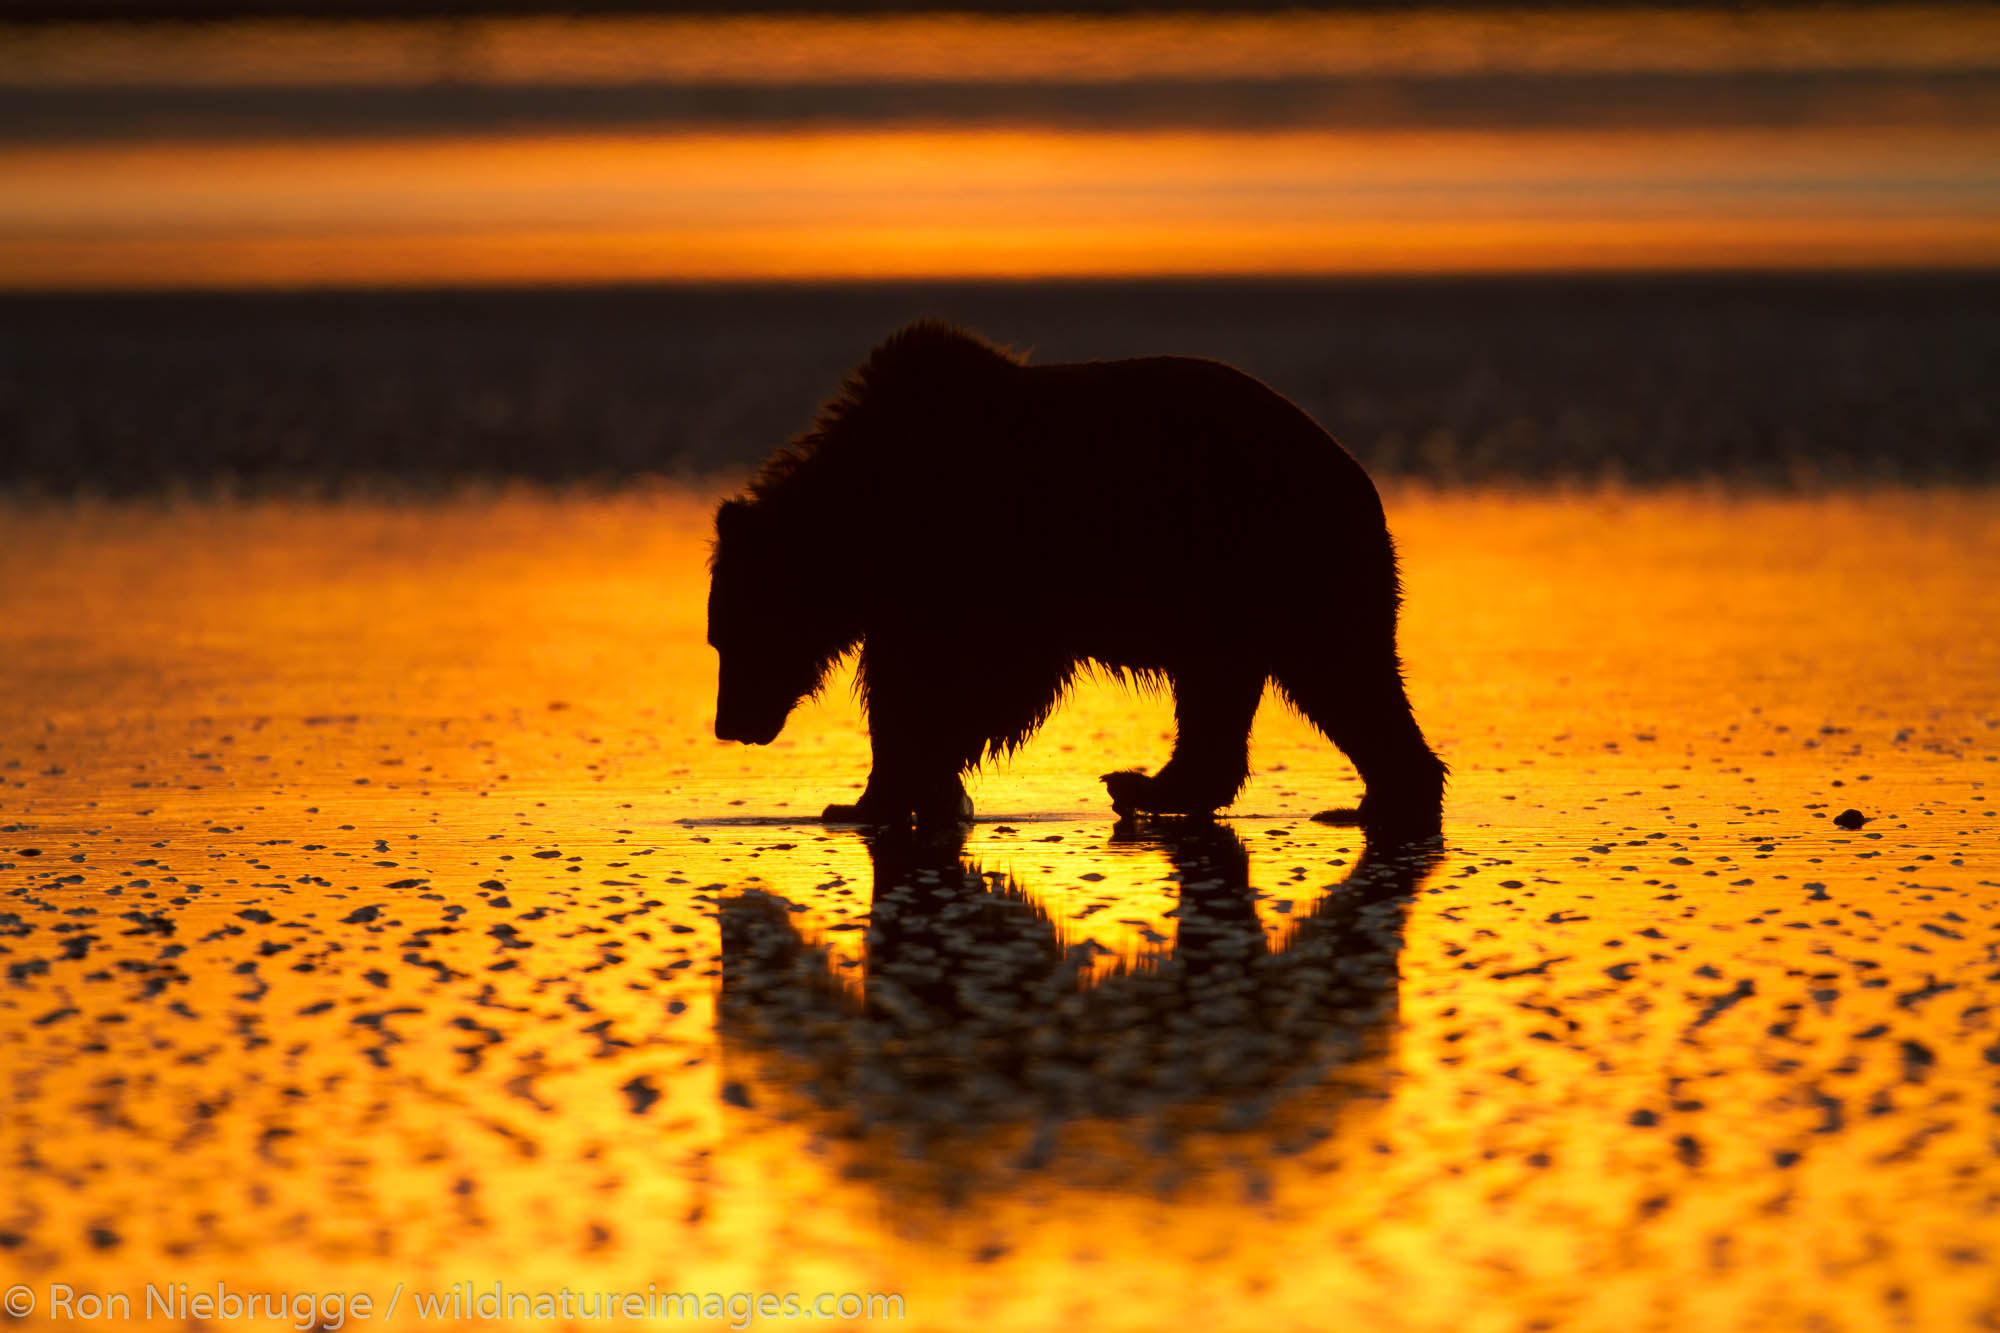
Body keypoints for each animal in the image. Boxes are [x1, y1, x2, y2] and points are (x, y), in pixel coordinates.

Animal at [712, 320, 1448, 832]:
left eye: (728, 638)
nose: (728, 725)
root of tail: (1362, 478)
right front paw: (913, 791)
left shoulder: (982, 566)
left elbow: (962, 683)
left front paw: (883, 792)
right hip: (1237, 597)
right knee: (1250, 690)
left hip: (1272, 559)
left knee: (1339, 673)